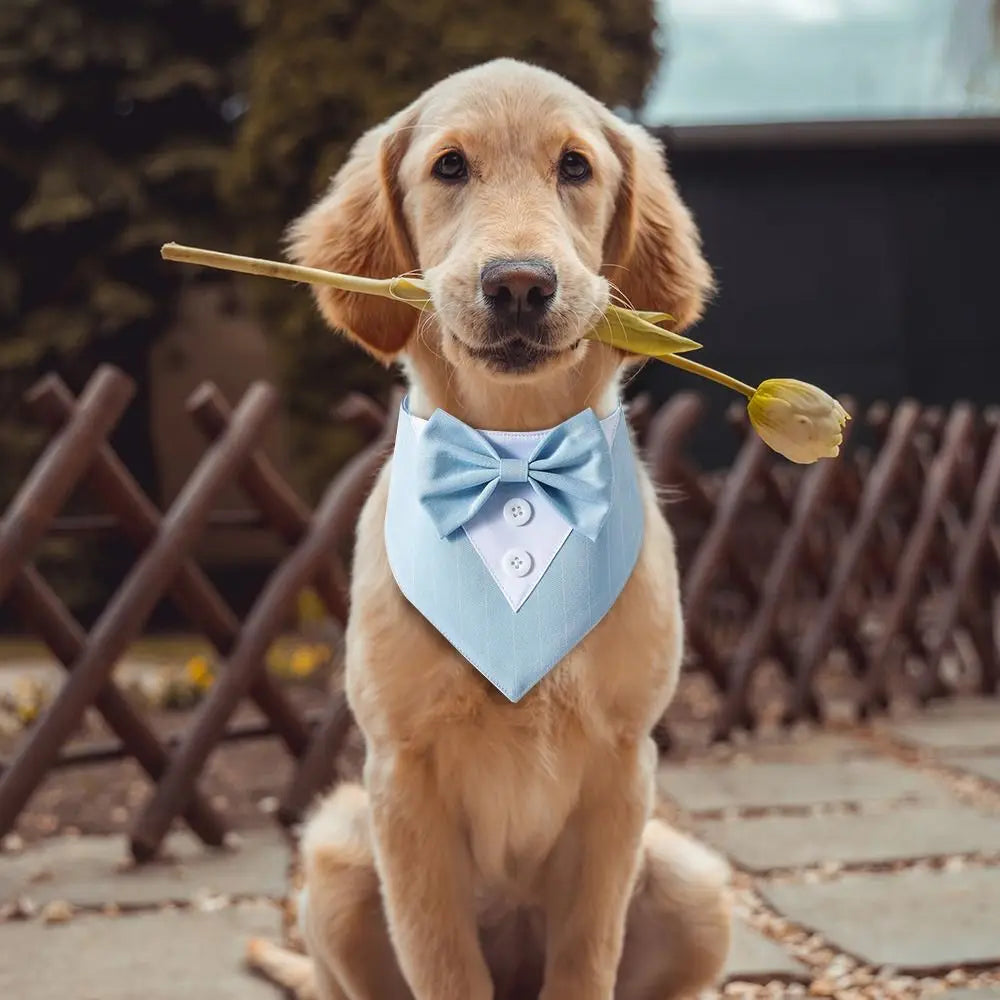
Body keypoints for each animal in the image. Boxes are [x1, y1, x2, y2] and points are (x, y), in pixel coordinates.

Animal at [248, 58, 736, 1000]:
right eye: (450, 166)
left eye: (576, 166)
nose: (519, 284)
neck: (516, 453)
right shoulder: (401, 775)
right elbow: (442, 962)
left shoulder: (623, 765)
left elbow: (586, 956)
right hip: (336, 855)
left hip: (695, 885)